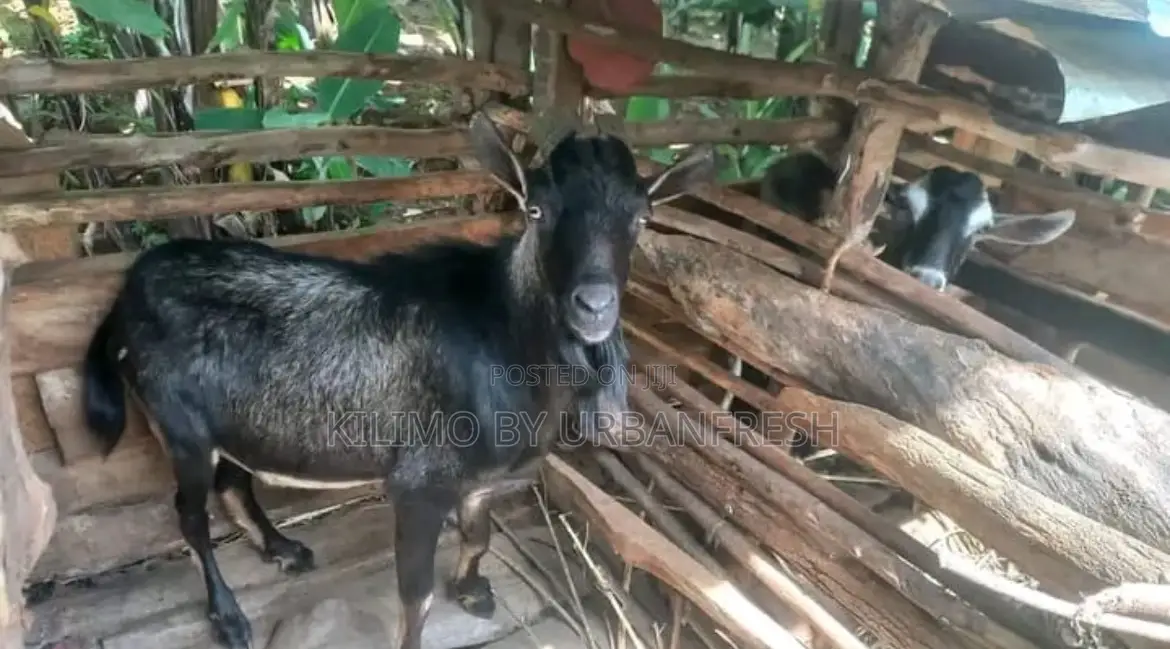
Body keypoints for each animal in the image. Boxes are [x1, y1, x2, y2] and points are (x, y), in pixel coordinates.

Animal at [81, 112, 717, 649]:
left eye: (641, 217)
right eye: (537, 210)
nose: (594, 306)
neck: (506, 334)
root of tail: (126, 292)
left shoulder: (480, 480)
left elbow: (480, 535)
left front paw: (473, 591)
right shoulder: (420, 483)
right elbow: (418, 597)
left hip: (237, 421)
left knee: (235, 483)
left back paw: (284, 549)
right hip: (179, 427)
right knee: (189, 515)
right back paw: (229, 616)